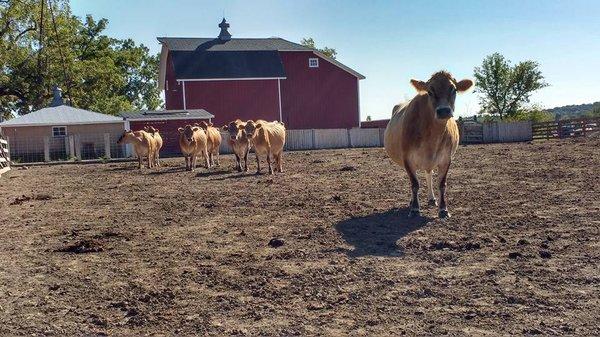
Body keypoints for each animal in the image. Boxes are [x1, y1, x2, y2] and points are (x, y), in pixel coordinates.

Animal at [384, 71, 474, 218]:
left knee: (429, 175)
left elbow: (442, 184)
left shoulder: (446, 159)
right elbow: (415, 184)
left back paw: (432, 198)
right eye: (430, 91)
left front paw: (443, 209)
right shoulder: (407, 159)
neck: (432, 139)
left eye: (454, 89)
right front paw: (415, 208)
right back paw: (412, 201)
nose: (444, 111)